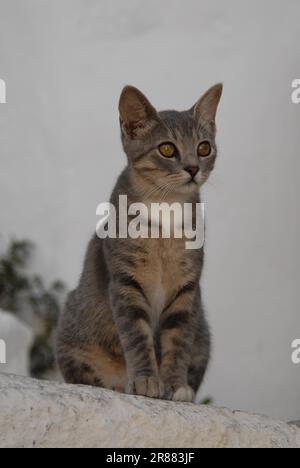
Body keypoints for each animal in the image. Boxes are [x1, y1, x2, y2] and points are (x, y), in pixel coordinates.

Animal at [55, 84, 223, 402]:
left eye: (204, 148)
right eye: (167, 149)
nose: (193, 168)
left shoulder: (187, 289)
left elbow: (177, 340)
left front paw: (174, 384)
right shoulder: (125, 281)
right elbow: (137, 336)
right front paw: (146, 380)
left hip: (204, 334)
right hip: (74, 329)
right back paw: (117, 385)